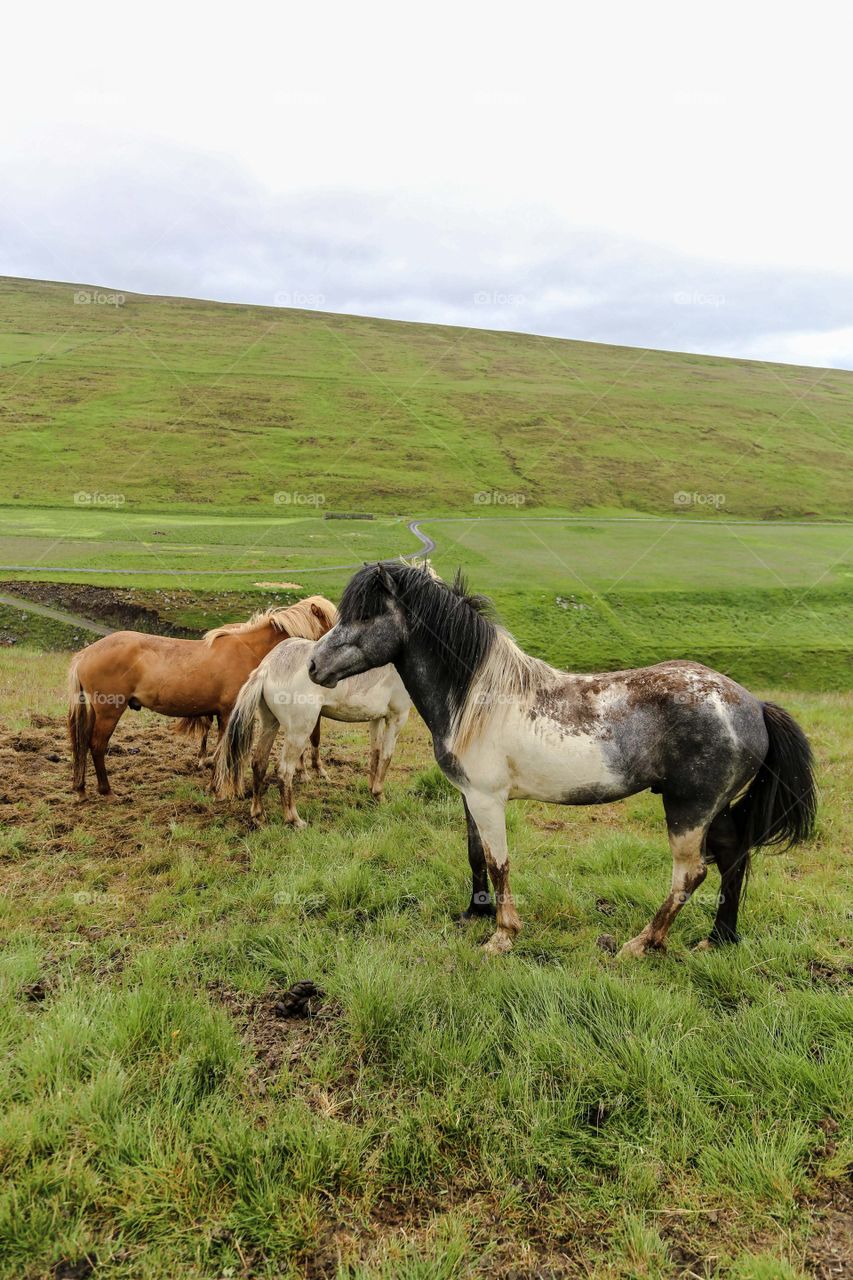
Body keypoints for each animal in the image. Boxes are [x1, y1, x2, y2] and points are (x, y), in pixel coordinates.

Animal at [67, 597, 338, 801]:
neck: (249, 650)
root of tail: (85, 654)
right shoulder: (229, 714)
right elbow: (224, 752)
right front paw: (223, 789)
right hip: (109, 711)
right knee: (97, 745)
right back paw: (106, 791)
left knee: (84, 743)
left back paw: (81, 789)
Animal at [215, 637, 411, 827]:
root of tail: (268, 666)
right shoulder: (397, 718)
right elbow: (386, 757)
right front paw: (379, 796)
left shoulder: (376, 719)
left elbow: (375, 755)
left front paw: (371, 792)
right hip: (299, 733)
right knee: (284, 771)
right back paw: (294, 820)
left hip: (270, 724)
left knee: (259, 763)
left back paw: (258, 815)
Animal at [307, 562, 817, 957]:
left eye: (366, 613)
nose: (313, 666)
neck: (479, 699)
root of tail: (754, 705)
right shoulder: (471, 796)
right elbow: (475, 855)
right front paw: (474, 912)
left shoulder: (489, 799)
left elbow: (499, 862)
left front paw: (502, 936)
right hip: (716, 809)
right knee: (733, 858)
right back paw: (720, 938)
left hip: (689, 810)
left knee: (691, 874)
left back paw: (641, 944)